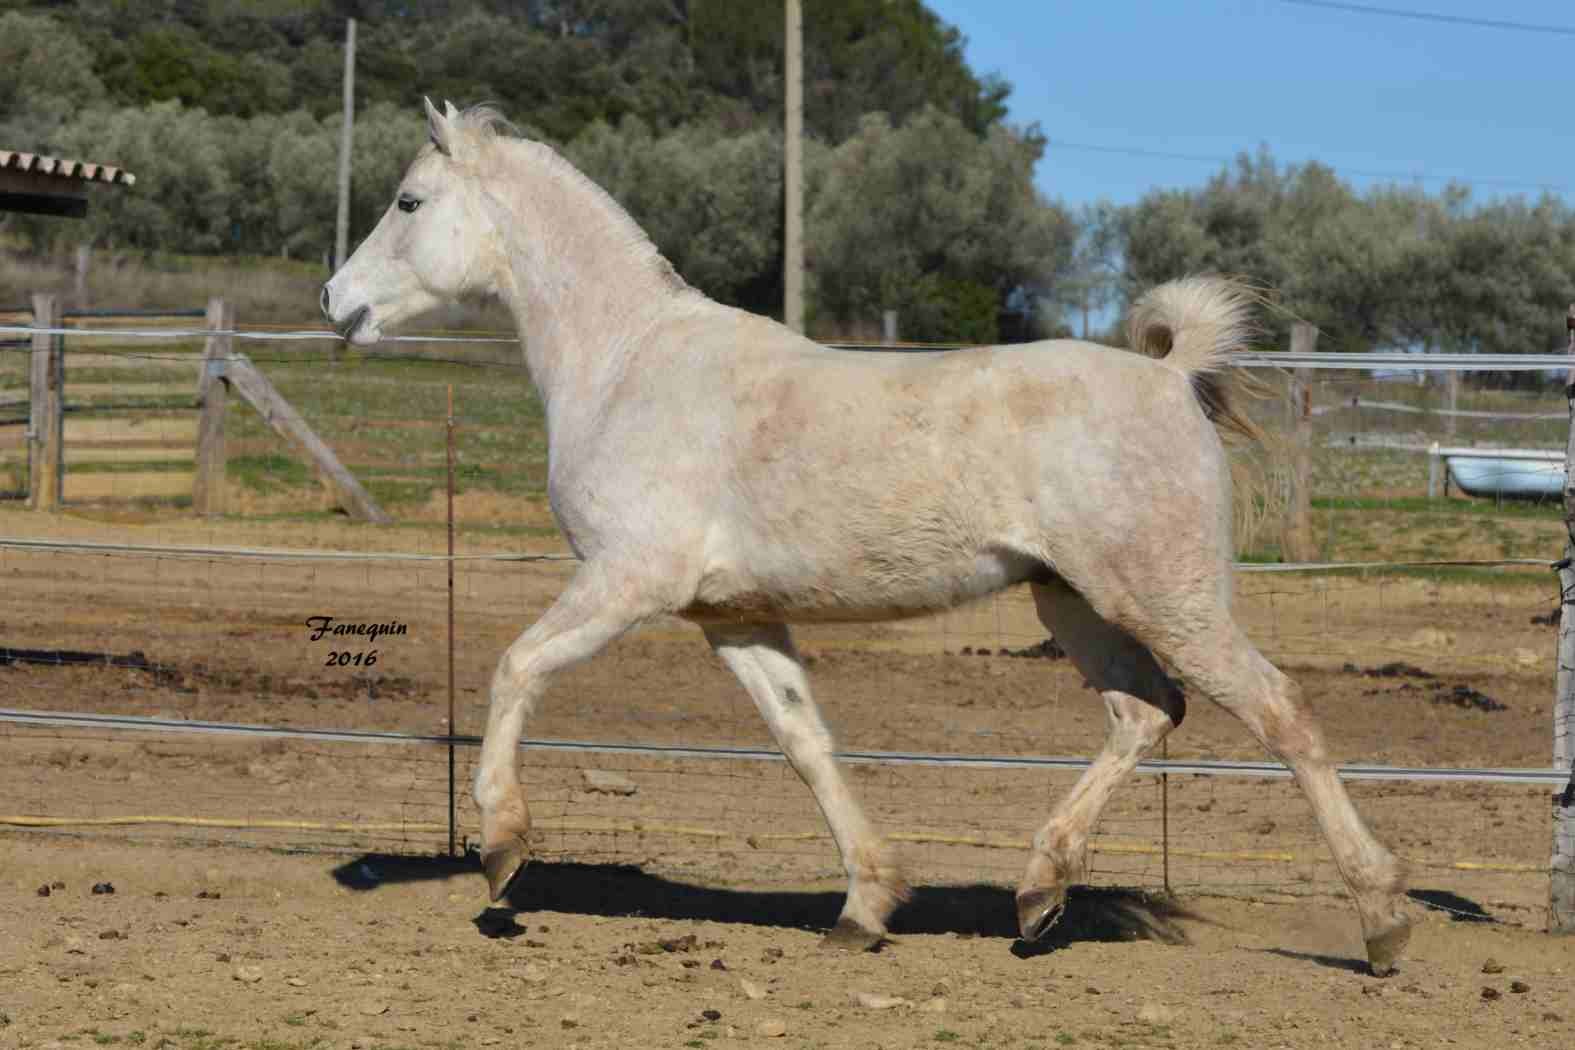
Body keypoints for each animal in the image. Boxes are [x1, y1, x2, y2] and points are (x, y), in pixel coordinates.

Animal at [322, 100, 1417, 976]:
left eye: (409, 202)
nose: (336, 302)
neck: (630, 363)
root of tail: (1168, 376)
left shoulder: (627, 580)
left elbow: (516, 667)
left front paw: (502, 850)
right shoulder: (732, 618)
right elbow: (807, 744)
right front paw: (865, 907)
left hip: (1165, 598)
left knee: (1281, 714)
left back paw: (1381, 925)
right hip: (1073, 600)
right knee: (1145, 714)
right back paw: (1037, 896)